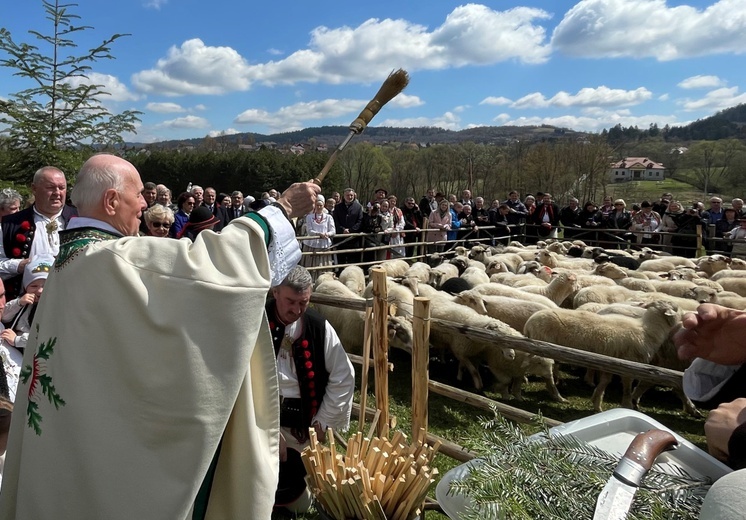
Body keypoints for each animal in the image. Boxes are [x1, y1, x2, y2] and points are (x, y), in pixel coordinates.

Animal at [520, 298, 676, 412]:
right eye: (674, 307)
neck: (647, 331)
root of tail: (529, 323)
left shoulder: (610, 363)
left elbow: (605, 382)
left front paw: (596, 404)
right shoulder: (629, 364)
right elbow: (627, 387)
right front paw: (627, 405)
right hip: (542, 349)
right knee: (545, 373)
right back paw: (557, 395)